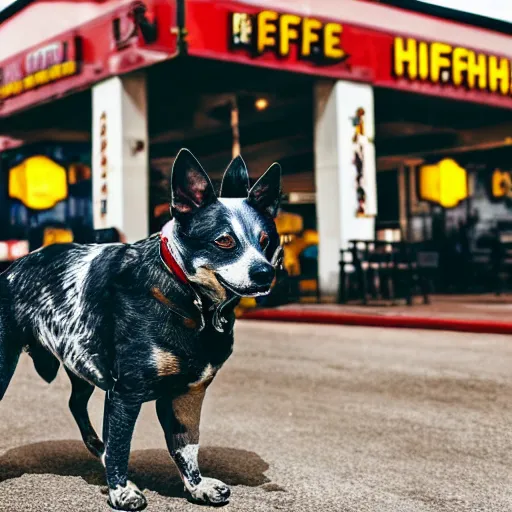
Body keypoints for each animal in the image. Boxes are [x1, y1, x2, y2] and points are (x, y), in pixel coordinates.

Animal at [0, 147, 284, 508]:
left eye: (266, 241)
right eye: (224, 241)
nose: (264, 273)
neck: (185, 294)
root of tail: (10, 269)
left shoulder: (188, 394)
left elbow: (187, 445)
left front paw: (196, 486)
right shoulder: (126, 393)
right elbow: (122, 444)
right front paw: (121, 490)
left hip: (80, 358)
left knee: (76, 404)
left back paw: (98, 449)